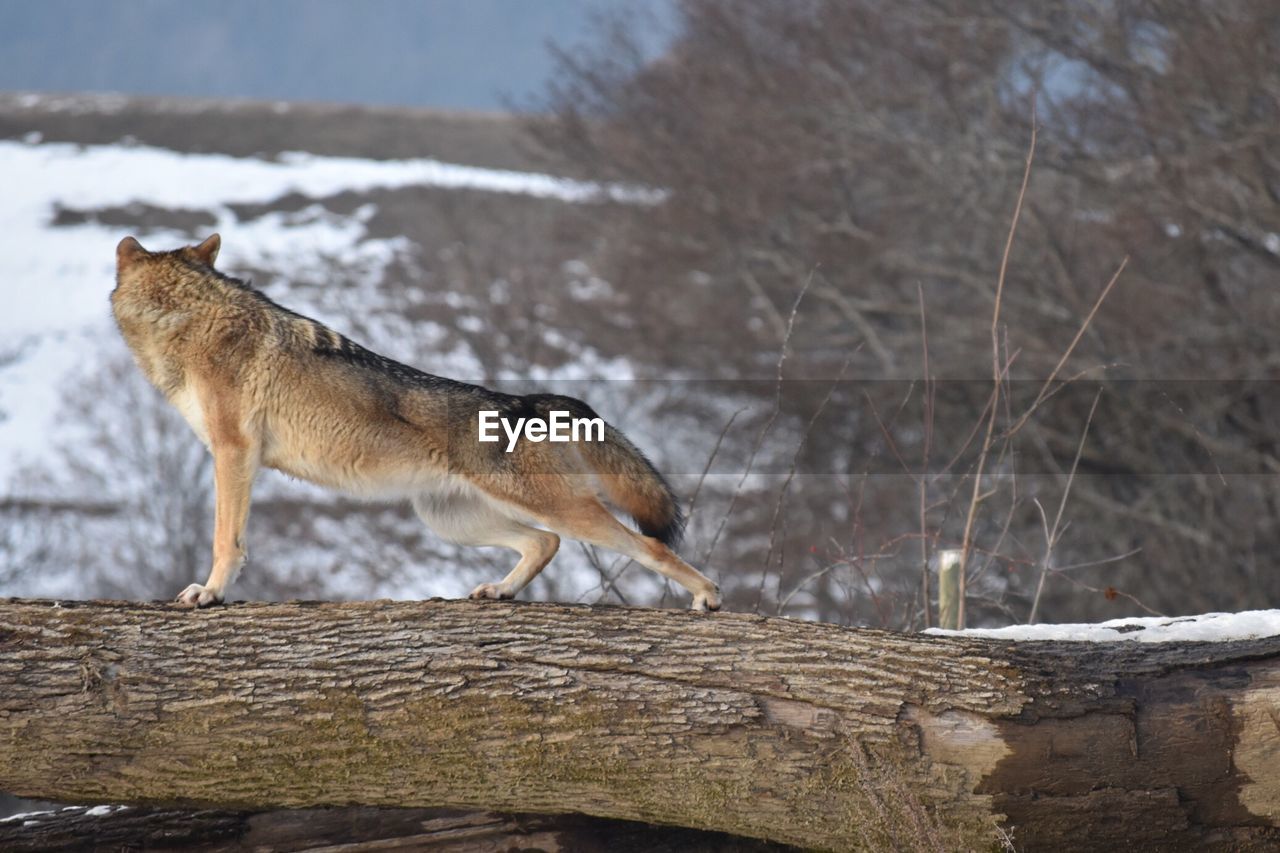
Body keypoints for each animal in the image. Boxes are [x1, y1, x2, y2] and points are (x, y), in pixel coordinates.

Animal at [112, 230, 721, 604]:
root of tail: (535, 401)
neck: (190, 320)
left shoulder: (234, 453)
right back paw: (500, 591)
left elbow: (226, 539)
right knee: (545, 544)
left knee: (649, 546)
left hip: (549, 510)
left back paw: (708, 596)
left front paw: (210, 592)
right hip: (448, 519)